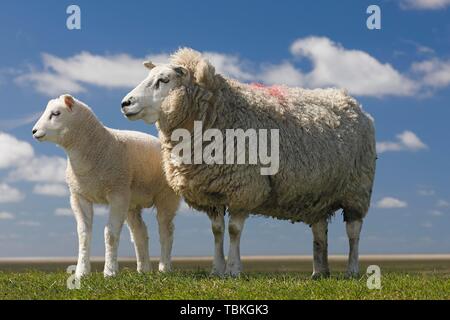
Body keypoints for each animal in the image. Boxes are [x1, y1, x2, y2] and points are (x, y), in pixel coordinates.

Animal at [32, 94, 180, 278]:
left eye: (56, 113)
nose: (34, 131)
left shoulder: (117, 194)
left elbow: (110, 234)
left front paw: (109, 271)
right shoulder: (79, 196)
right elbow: (83, 235)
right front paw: (81, 272)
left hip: (166, 196)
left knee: (166, 230)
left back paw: (164, 267)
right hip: (132, 202)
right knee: (139, 232)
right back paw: (143, 269)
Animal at [120, 47, 376, 278]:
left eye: (163, 80)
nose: (125, 103)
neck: (218, 111)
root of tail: (350, 101)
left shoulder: (244, 187)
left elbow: (234, 230)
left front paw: (233, 270)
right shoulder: (211, 192)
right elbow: (217, 231)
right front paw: (217, 270)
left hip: (357, 189)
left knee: (353, 232)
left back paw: (352, 271)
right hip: (319, 194)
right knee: (320, 231)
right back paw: (319, 272)